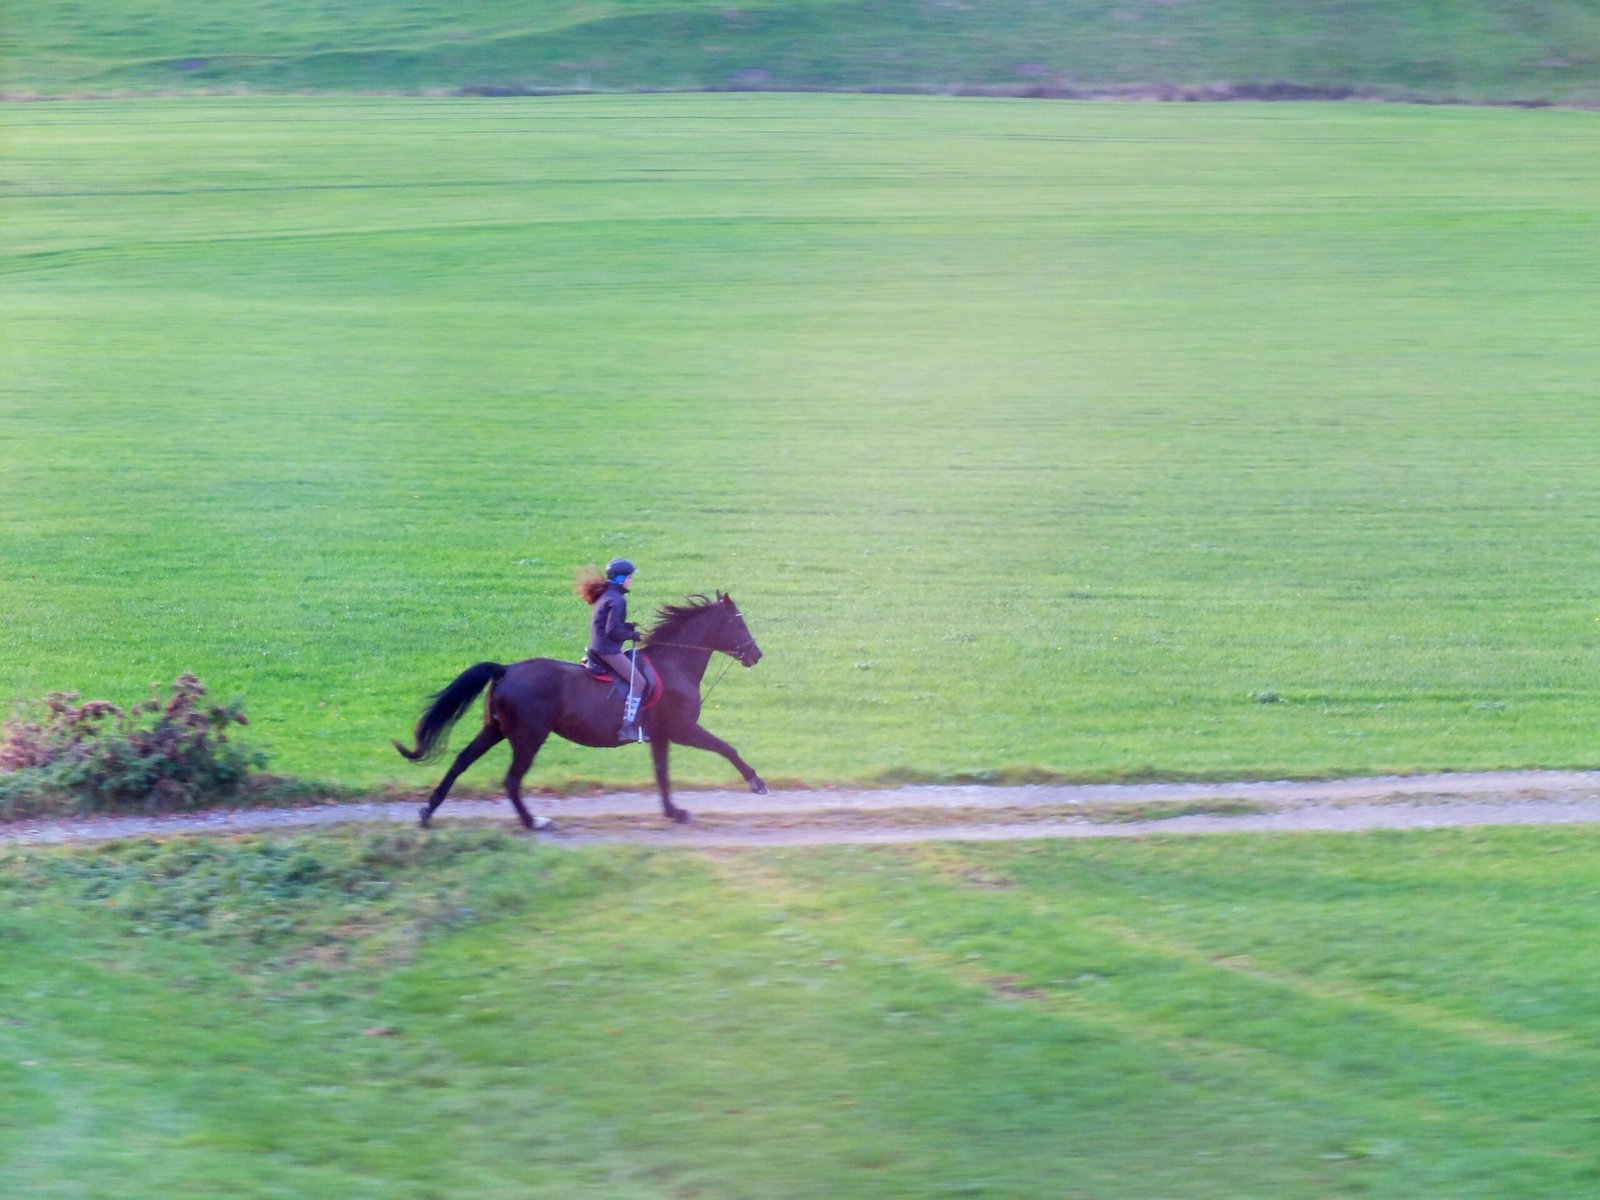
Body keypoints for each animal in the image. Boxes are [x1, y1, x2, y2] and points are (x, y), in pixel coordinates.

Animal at [387, 588, 761, 832]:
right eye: (738, 623)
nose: (756, 655)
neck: (675, 662)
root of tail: (505, 669)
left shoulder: (660, 735)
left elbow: (662, 774)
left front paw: (673, 812)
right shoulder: (682, 729)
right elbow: (726, 748)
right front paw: (757, 783)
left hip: (494, 729)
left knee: (462, 761)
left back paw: (428, 811)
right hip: (528, 737)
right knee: (511, 780)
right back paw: (533, 822)